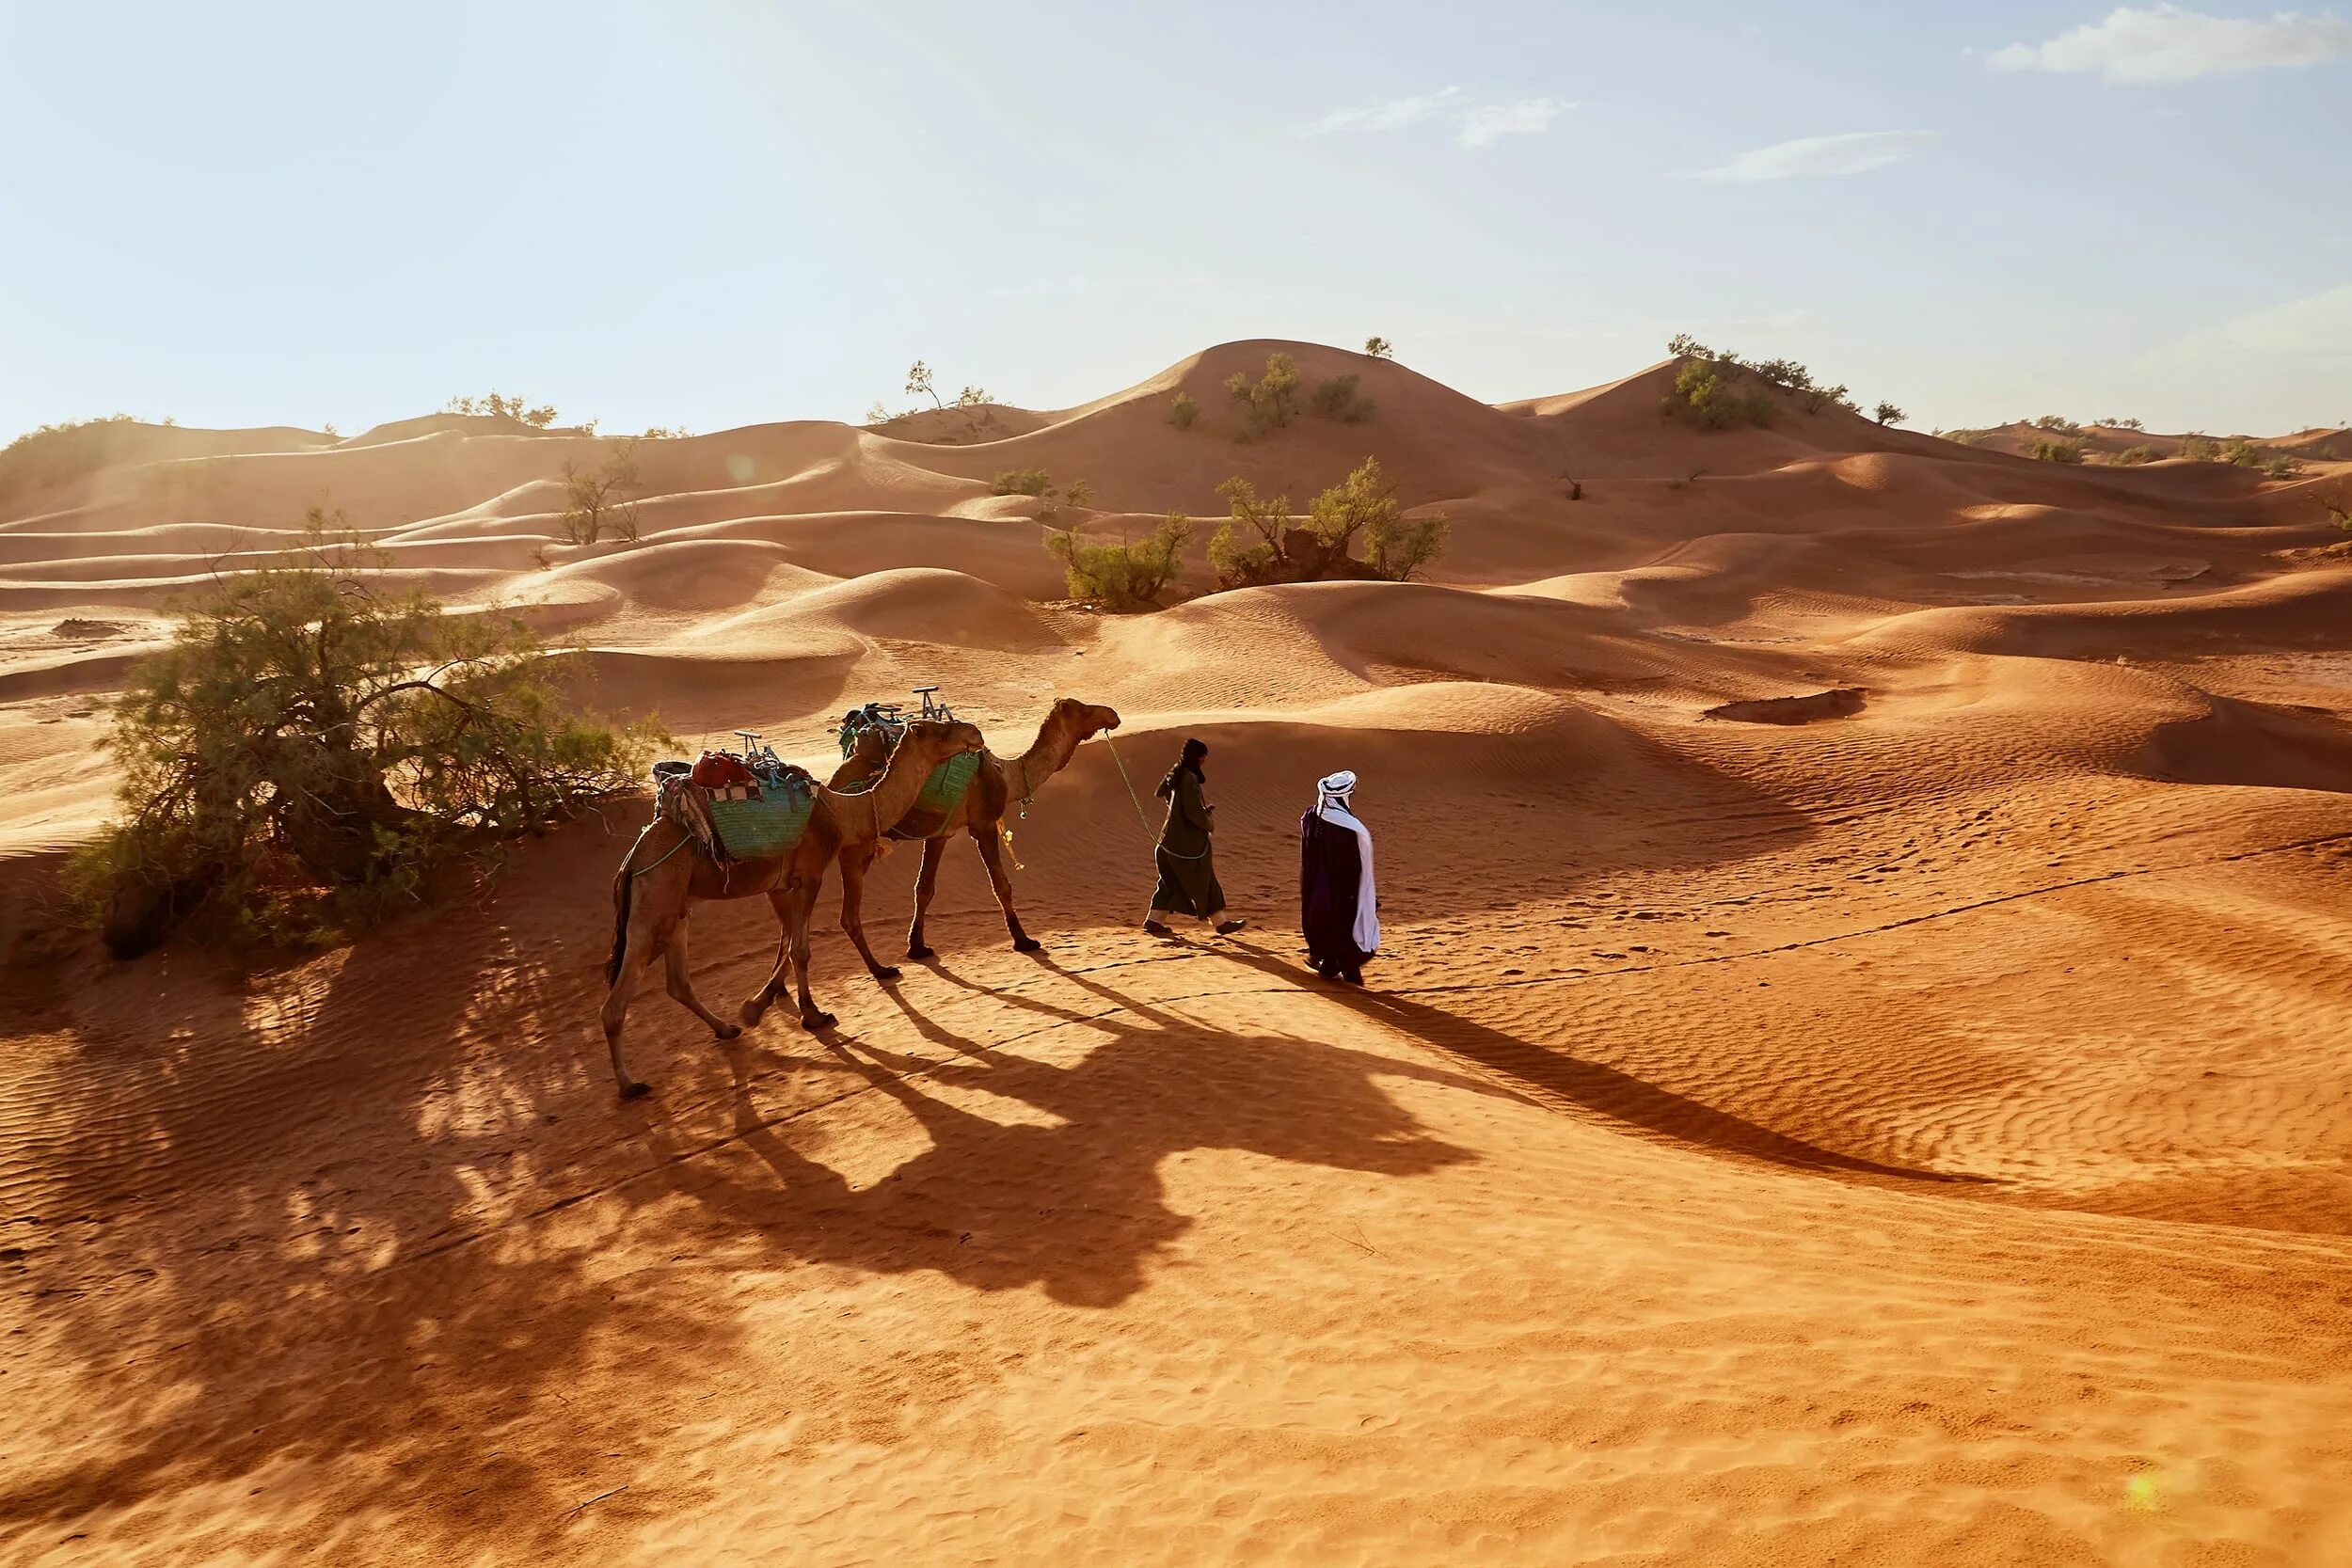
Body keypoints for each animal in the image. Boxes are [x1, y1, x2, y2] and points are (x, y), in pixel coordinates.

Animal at [607, 719, 983, 1100]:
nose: (975, 734)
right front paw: (812, 1015)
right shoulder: (809, 875)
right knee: (616, 1002)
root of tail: (631, 861)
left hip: (678, 909)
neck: (840, 813)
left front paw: (759, 1005)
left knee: (678, 982)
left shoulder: (780, 884)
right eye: (939, 731)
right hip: (653, 903)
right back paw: (629, 1084)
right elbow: (800, 950)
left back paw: (726, 1029)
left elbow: (787, 941)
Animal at [828, 700, 1120, 982]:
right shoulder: (984, 824)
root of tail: (834, 785)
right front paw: (1023, 940)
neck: (1006, 774)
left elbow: (924, 889)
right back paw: (880, 971)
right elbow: (1001, 886)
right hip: (855, 848)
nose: (1113, 715)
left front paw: (917, 947)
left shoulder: (940, 833)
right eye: (1084, 709)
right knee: (849, 915)